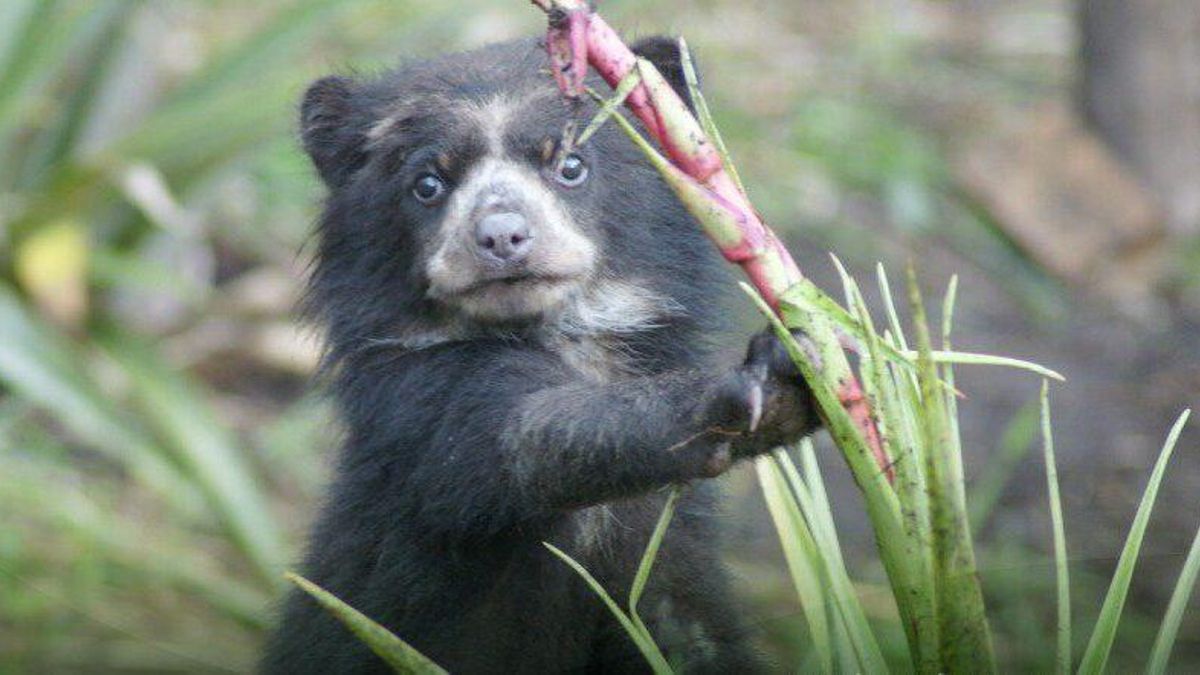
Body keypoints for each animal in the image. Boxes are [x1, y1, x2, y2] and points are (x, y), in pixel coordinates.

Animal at [262, 35, 819, 674]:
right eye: (427, 183)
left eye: (570, 165)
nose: (502, 236)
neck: (560, 334)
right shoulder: (427, 403)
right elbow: (533, 432)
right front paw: (756, 390)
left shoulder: (670, 572)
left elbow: (692, 639)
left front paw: (792, 367)